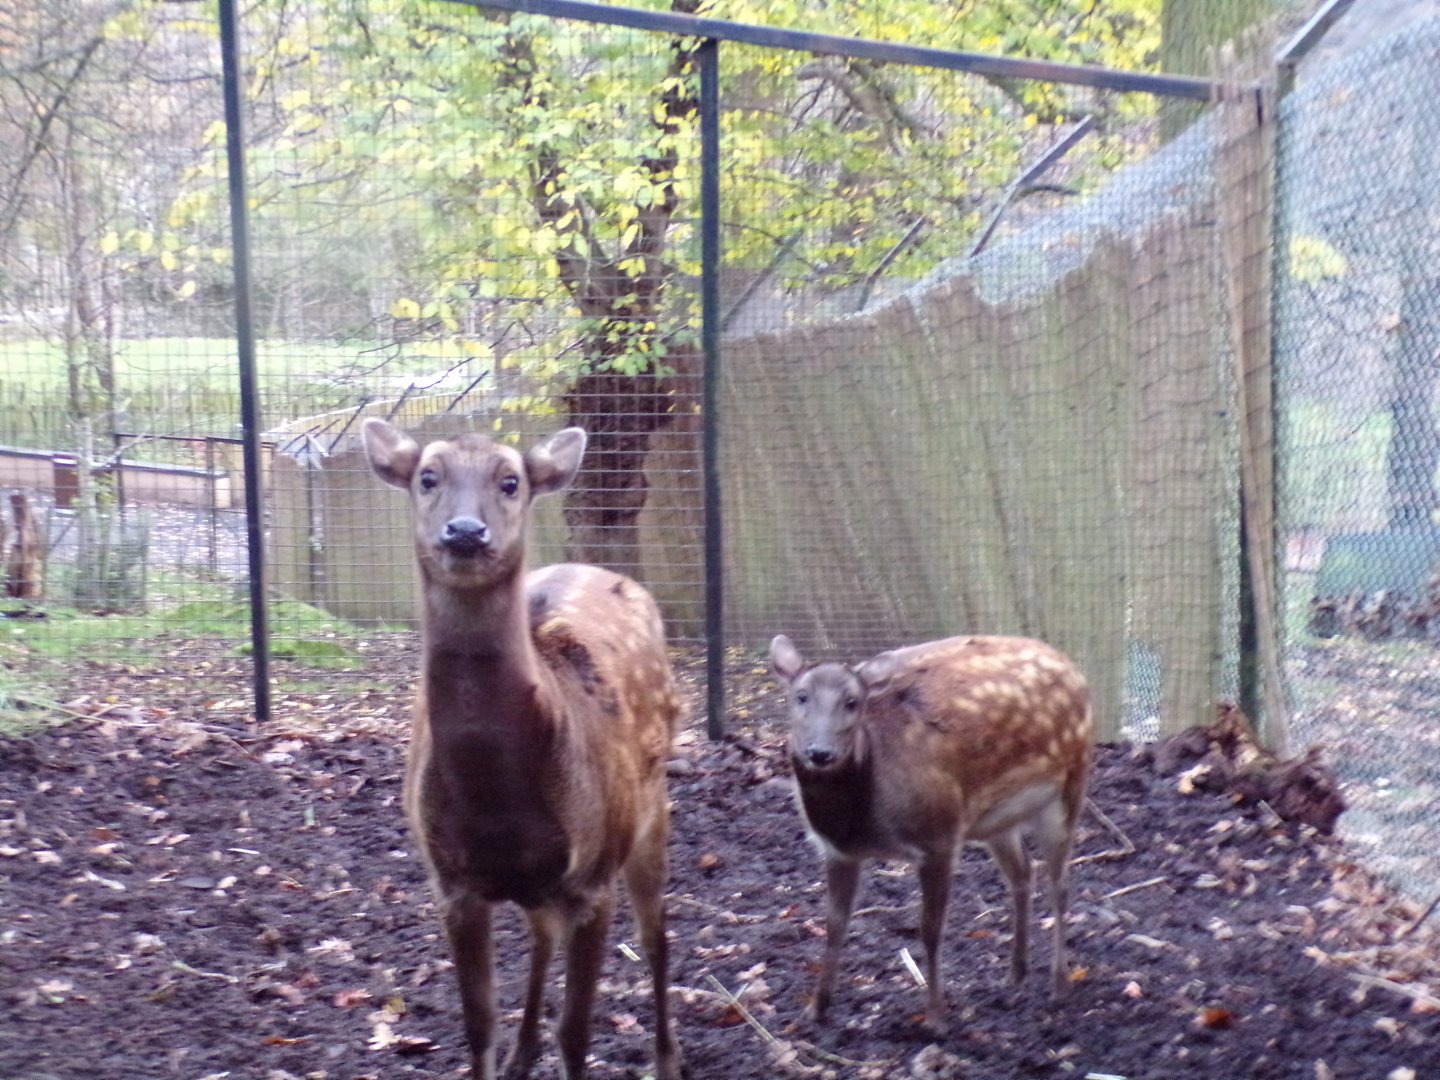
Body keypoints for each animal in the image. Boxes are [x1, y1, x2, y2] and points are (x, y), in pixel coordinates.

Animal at [363, 419, 683, 1080]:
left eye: (510, 481)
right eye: (427, 476)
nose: (464, 531)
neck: (495, 801)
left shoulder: (593, 879)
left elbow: (577, 1033)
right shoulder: (452, 882)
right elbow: (478, 1024)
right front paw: (503, 1048)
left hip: (650, 808)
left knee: (657, 935)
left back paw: (669, 1059)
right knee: (542, 933)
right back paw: (521, 1051)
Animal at [769, 633, 1093, 1030]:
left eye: (852, 701)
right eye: (800, 696)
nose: (820, 752)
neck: (863, 822)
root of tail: (1072, 667)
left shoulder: (939, 836)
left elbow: (930, 928)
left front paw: (936, 1017)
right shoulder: (838, 851)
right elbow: (834, 924)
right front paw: (816, 1008)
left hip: (1069, 786)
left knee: (1059, 885)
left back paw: (1059, 984)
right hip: (993, 819)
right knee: (1022, 873)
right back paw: (1015, 974)